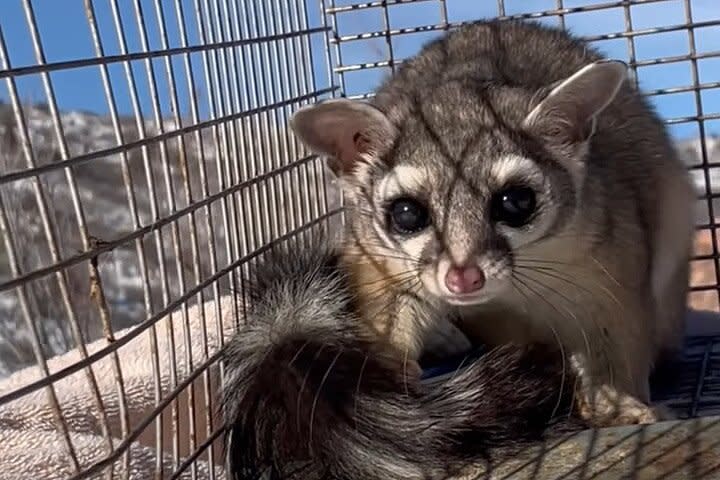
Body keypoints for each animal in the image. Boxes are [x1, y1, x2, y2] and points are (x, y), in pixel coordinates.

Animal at [290, 20, 696, 428]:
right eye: (406, 213)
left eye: (515, 202)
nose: (463, 277)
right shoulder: (376, 253)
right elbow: (385, 303)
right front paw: (388, 377)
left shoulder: (607, 246)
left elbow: (616, 325)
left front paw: (615, 402)